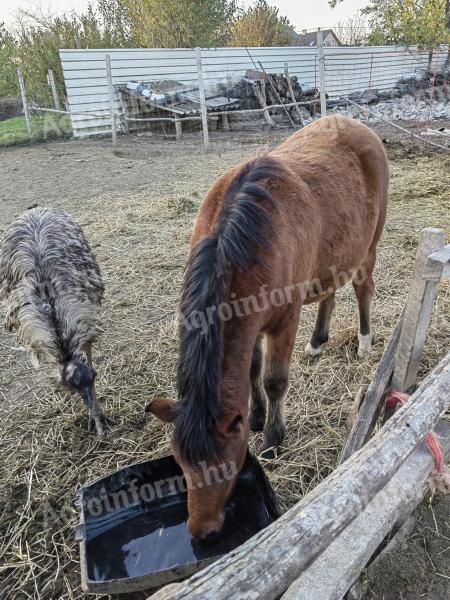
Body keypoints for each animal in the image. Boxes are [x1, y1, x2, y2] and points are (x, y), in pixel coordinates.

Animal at [149, 116, 388, 540]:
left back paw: (363, 341)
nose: (201, 530)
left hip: (369, 247)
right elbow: (252, 371)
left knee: (362, 288)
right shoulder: (251, 325)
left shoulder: (282, 323)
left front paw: (274, 440)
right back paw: (317, 343)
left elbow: (274, 380)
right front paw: (257, 417)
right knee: (329, 293)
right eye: (180, 462)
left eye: (225, 467)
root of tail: (361, 128)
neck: (241, 243)